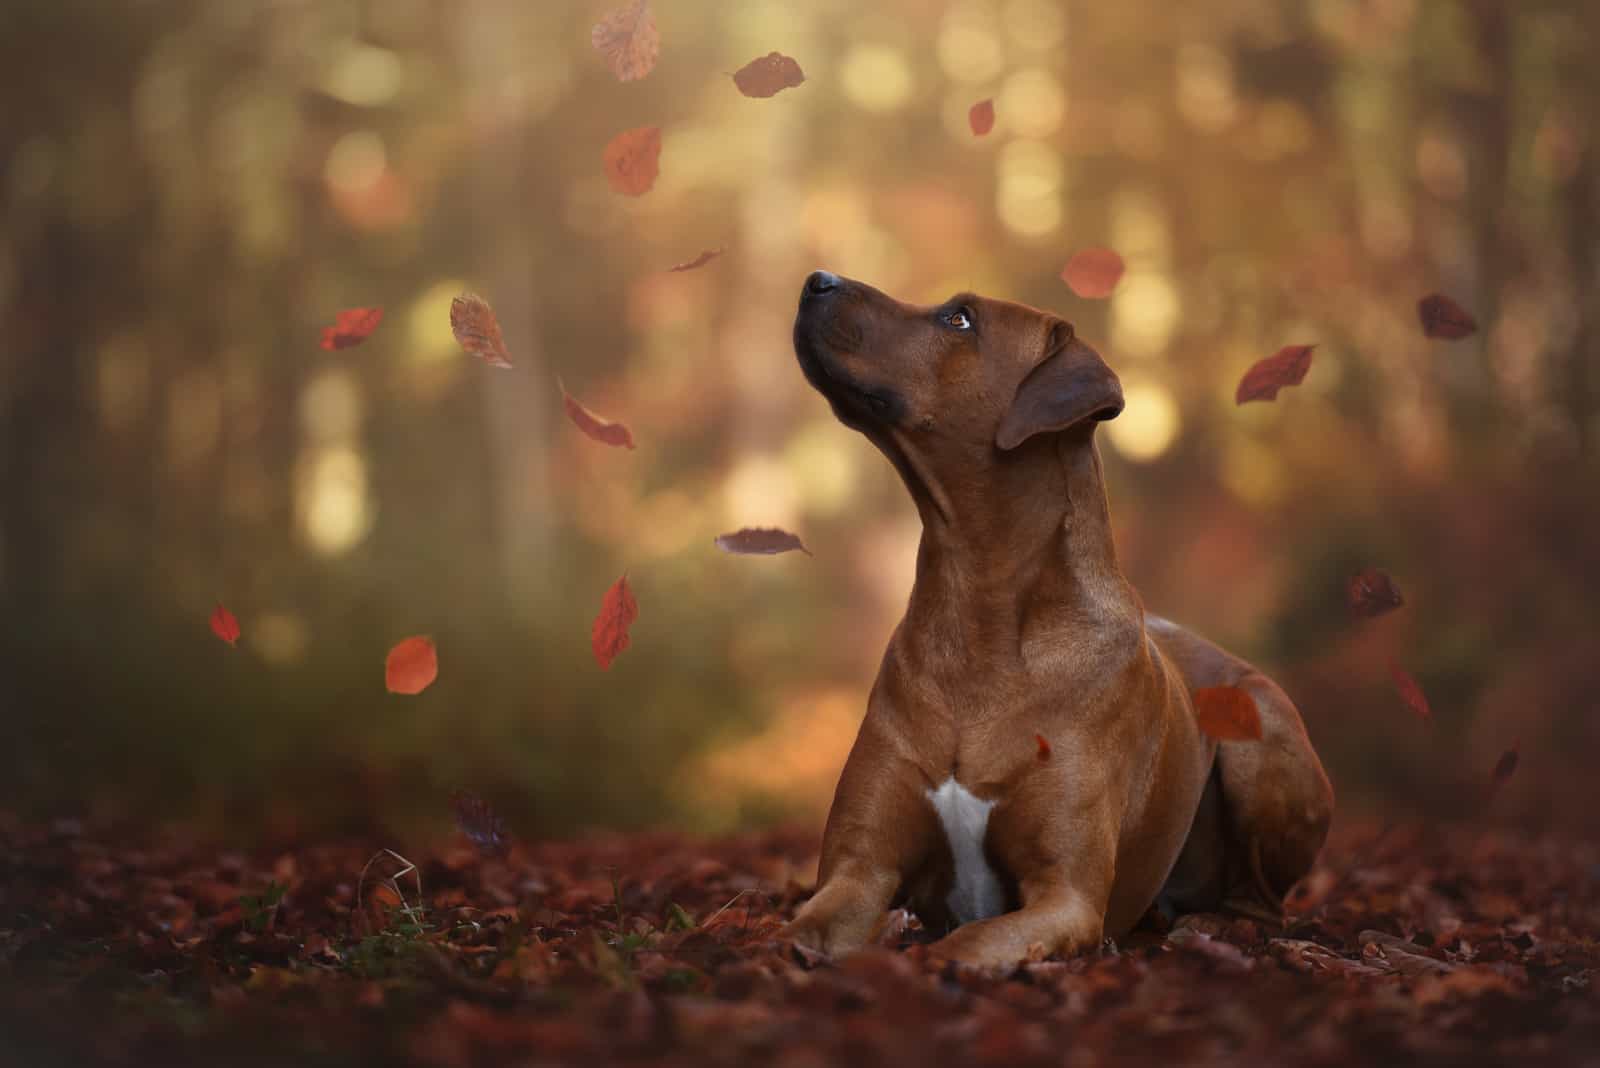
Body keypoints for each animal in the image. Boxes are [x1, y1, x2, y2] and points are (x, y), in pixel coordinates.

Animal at [780, 273, 1331, 965]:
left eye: (960, 320)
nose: (816, 280)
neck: (972, 605)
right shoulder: (859, 867)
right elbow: (801, 928)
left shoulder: (1065, 895)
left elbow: (968, 942)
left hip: (1263, 736)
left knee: (1263, 899)